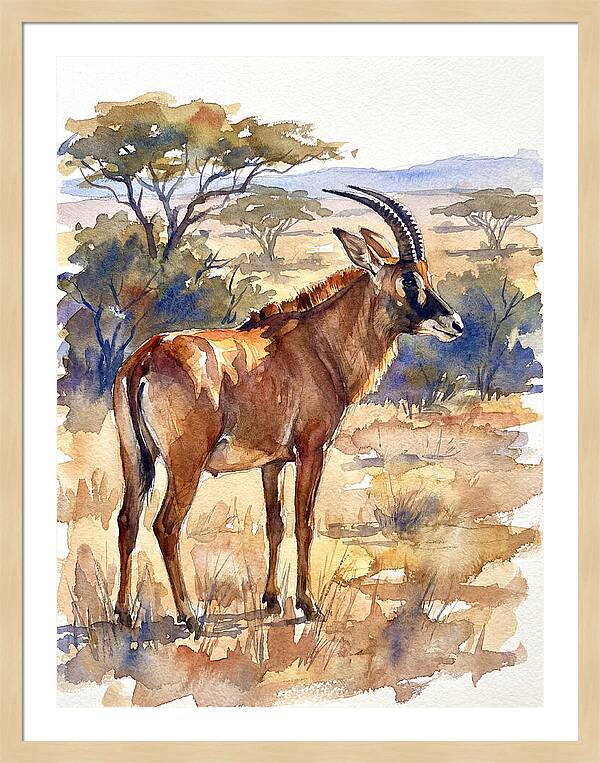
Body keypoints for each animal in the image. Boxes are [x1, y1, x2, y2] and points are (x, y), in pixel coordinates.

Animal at [113, 186, 463, 632]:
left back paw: (123, 614)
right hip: (185, 463)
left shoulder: (272, 462)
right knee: (166, 525)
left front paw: (271, 600)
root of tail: (145, 358)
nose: (454, 323)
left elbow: (275, 524)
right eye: (408, 279)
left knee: (128, 520)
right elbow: (305, 523)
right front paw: (309, 605)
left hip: (135, 457)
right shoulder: (312, 450)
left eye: (426, 275)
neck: (318, 343)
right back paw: (189, 615)